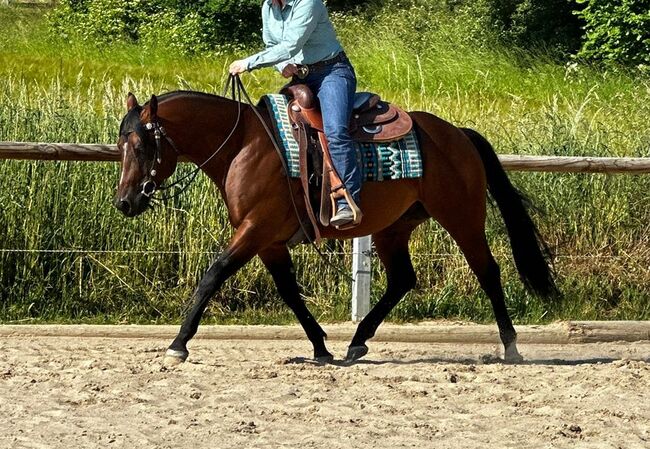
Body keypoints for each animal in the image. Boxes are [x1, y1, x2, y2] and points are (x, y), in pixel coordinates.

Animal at [114, 82, 556, 366]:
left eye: (141, 145)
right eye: (120, 145)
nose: (125, 202)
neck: (243, 144)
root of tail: (458, 135)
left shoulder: (255, 229)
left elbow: (213, 275)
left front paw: (178, 344)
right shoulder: (269, 241)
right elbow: (290, 293)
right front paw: (321, 347)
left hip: (462, 217)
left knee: (488, 271)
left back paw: (511, 346)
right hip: (393, 228)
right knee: (403, 279)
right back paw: (357, 342)